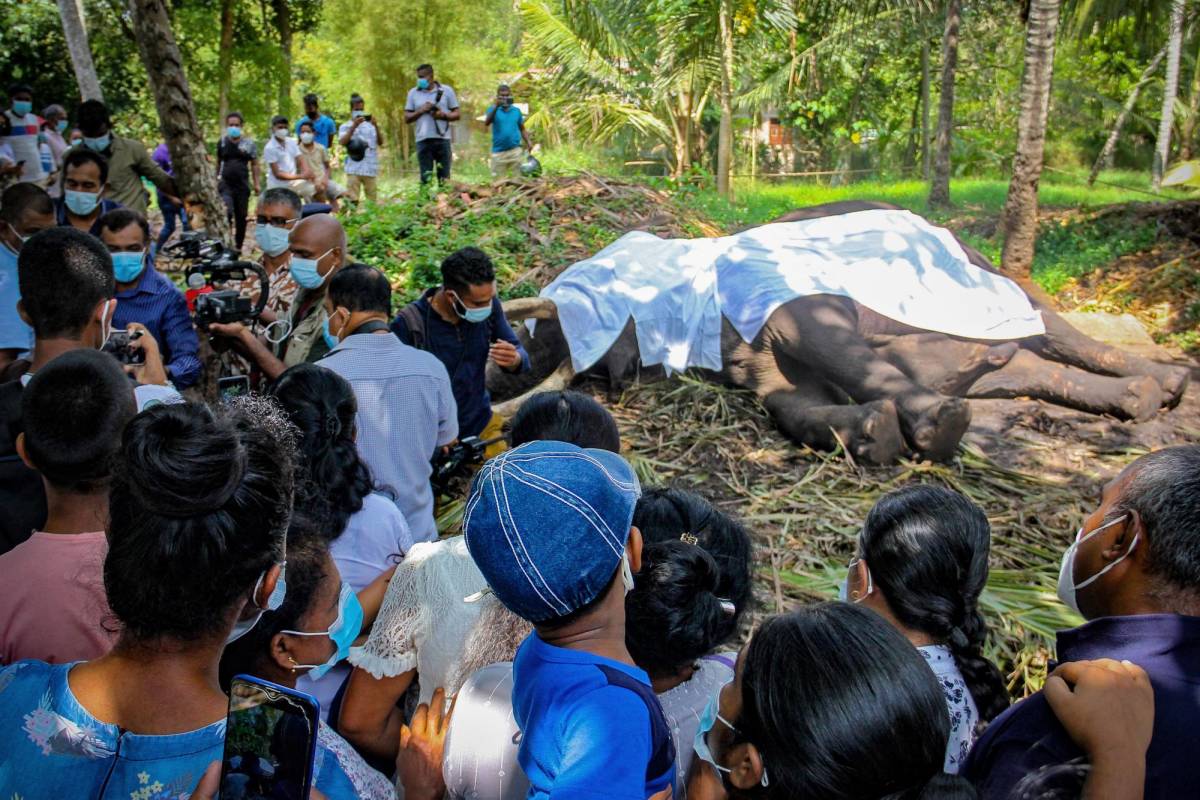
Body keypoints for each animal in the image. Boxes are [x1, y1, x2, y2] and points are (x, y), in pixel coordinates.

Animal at [487, 200, 1190, 465]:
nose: (505, 361)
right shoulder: (754, 364)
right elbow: (788, 402)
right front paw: (875, 436)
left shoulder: (787, 302)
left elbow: (837, 348)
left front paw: (937, 430)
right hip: (1000, 344)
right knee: (1033, 367)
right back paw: (1139, 400)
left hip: (983, 275)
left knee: (1053, 325)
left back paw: (1167, 384)